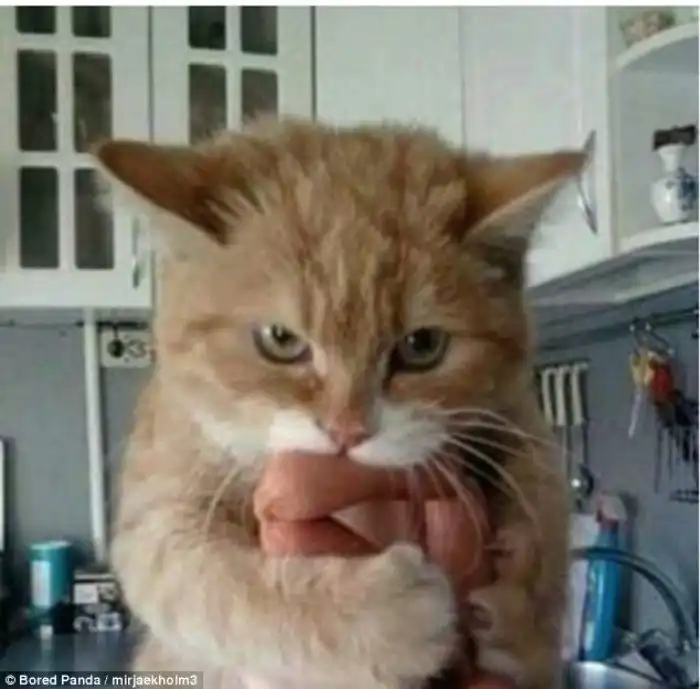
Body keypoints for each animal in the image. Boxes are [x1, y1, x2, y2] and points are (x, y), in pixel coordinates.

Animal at [95, 117, 582, 689]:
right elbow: (221, 588)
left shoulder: (518, 412)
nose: (348, 430)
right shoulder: (156, 516)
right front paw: (382, 617)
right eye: (281, 340)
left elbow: (545, 498)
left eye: (422, 346)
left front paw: (519, 615)